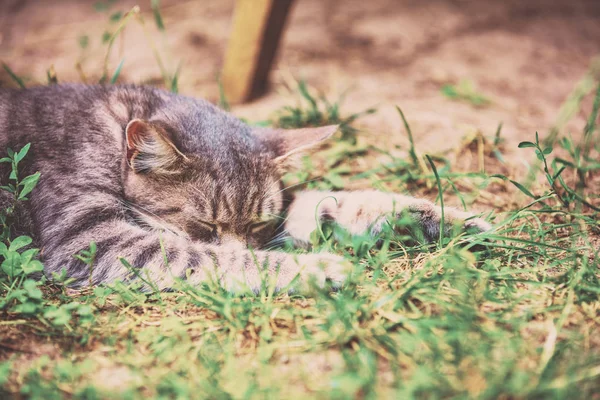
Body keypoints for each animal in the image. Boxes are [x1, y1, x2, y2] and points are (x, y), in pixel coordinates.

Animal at [0, 84, 490, 294]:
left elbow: (341, 201)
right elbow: (213, 258)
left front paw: (449, 219)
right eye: (203, 225)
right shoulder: (89, 237)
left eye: (258, 224)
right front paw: (317, 268)